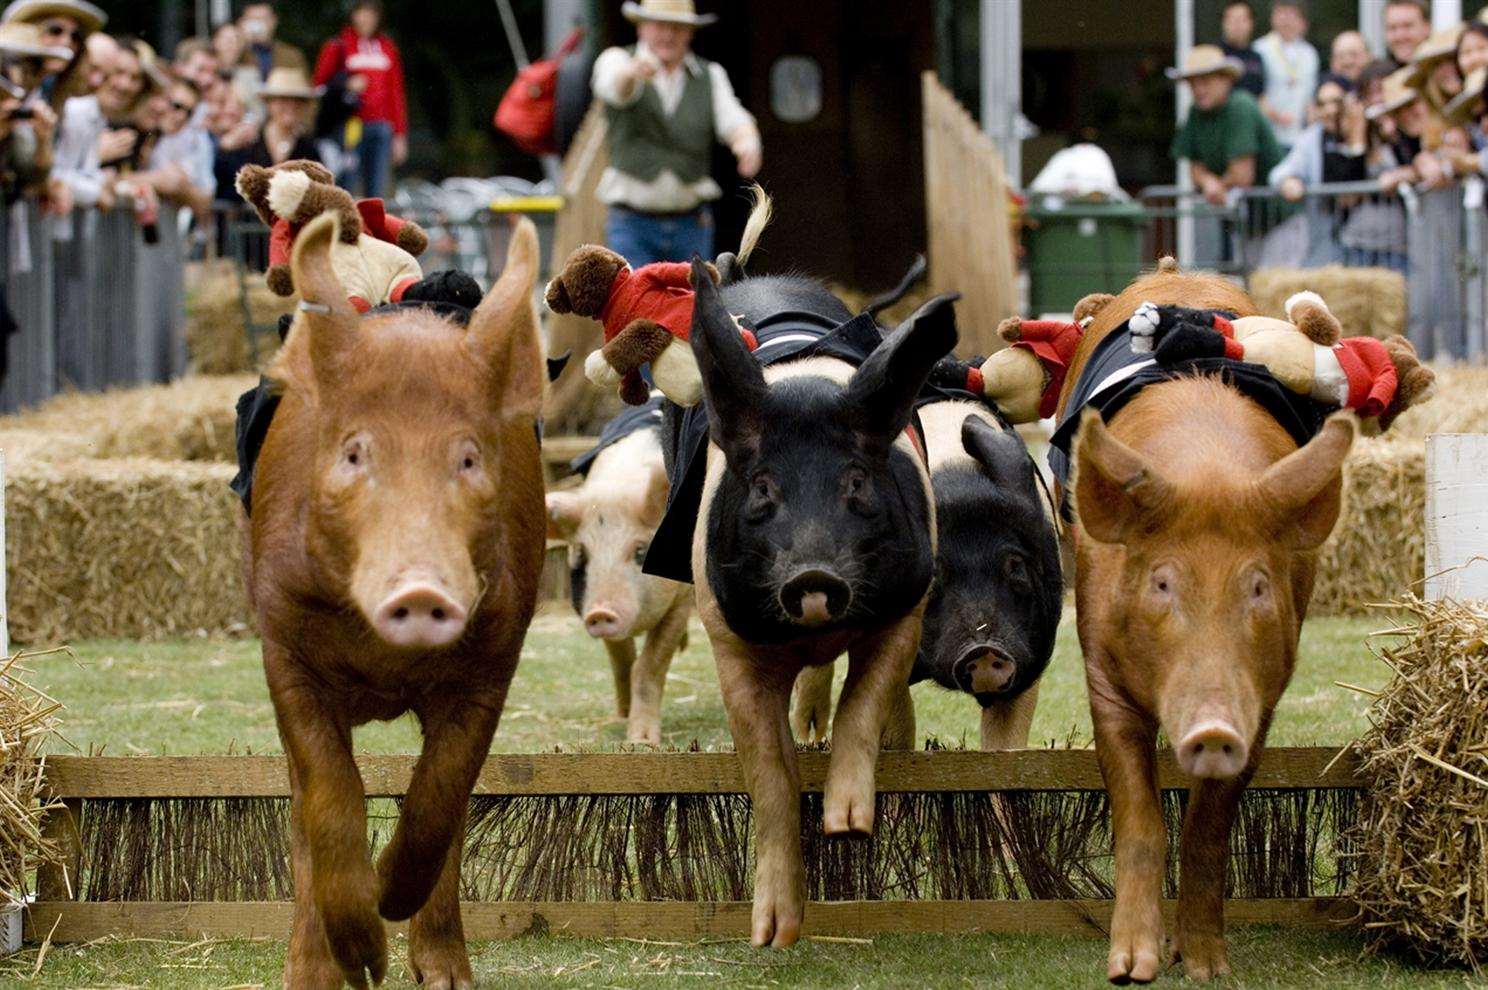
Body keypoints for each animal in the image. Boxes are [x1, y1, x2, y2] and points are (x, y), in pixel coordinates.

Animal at [244, 212, 547, 982]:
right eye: (354, 453)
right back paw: (314, 974)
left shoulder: (496, 657)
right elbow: (330, 794)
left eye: (468, 457)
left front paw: (389, 900)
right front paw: (363, 960)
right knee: (301, 805)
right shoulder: (282, 647)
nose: (419, 586)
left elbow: (440, 796)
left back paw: (445, 976)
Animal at [547, 393, 690, 741]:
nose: (601, 611)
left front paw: (643, 742)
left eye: (640, 551)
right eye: (581, 553)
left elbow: (650, 665)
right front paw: (622, 718)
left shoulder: (681, 601)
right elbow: (624, 660)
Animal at [657, 259, 958, 946]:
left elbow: (864, 701)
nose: (812, 574)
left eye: (857, 482)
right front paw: (772, 936)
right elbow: (770, 775)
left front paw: (849, 827)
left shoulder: (904, 608)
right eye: (763, 488)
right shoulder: (729, 638)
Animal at [1059, 266, 1363, 982]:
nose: (1214, 729)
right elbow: (1140, 815)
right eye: (1161, 582)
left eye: (1258, 586)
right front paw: (1131, 969)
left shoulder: (1267, 693)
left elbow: (1210, 823)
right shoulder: (1101, 672)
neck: (1206, 470)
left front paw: (1205, 969)